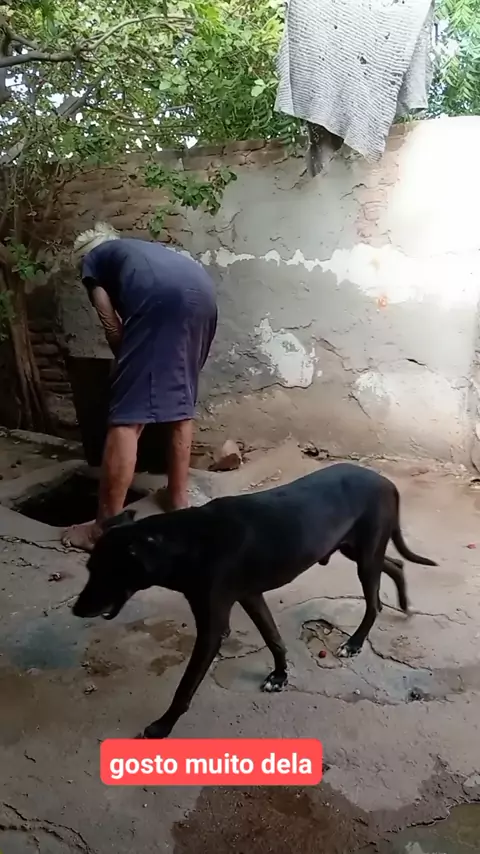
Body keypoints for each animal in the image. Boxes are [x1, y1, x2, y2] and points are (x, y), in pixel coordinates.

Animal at [71, 462, 436, 738]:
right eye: (88, 568)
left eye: (105, 573)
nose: (76, 610)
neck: (188, 542)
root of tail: (387, 481)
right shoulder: (250, 596)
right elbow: (273, 638)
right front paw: (280, 676)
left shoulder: (212, 627)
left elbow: (185, 685)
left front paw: (163, 726)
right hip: (356, 550)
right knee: (396, 564)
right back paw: (404, 602)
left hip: (364, 556)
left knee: (374, 602)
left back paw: (356, 642)